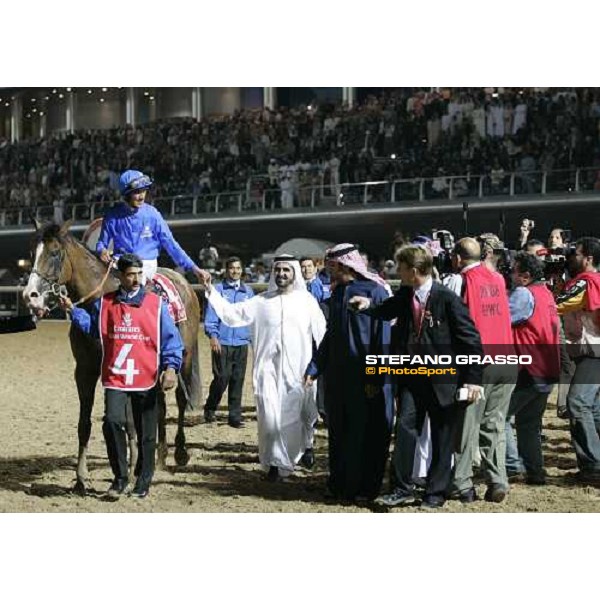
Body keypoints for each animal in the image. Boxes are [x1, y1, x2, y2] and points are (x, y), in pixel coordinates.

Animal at [22, 219, 202, 492]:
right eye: (32, 253)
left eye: (54, 253)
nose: (30, 296)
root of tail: (182, 281)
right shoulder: (84, 370)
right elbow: (85, 423)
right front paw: (81, 478)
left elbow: (129, 422)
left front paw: (131, 469)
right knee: (159, 404)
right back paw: (159, 456)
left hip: (186, 356)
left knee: (180, 400)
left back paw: (179, 453)